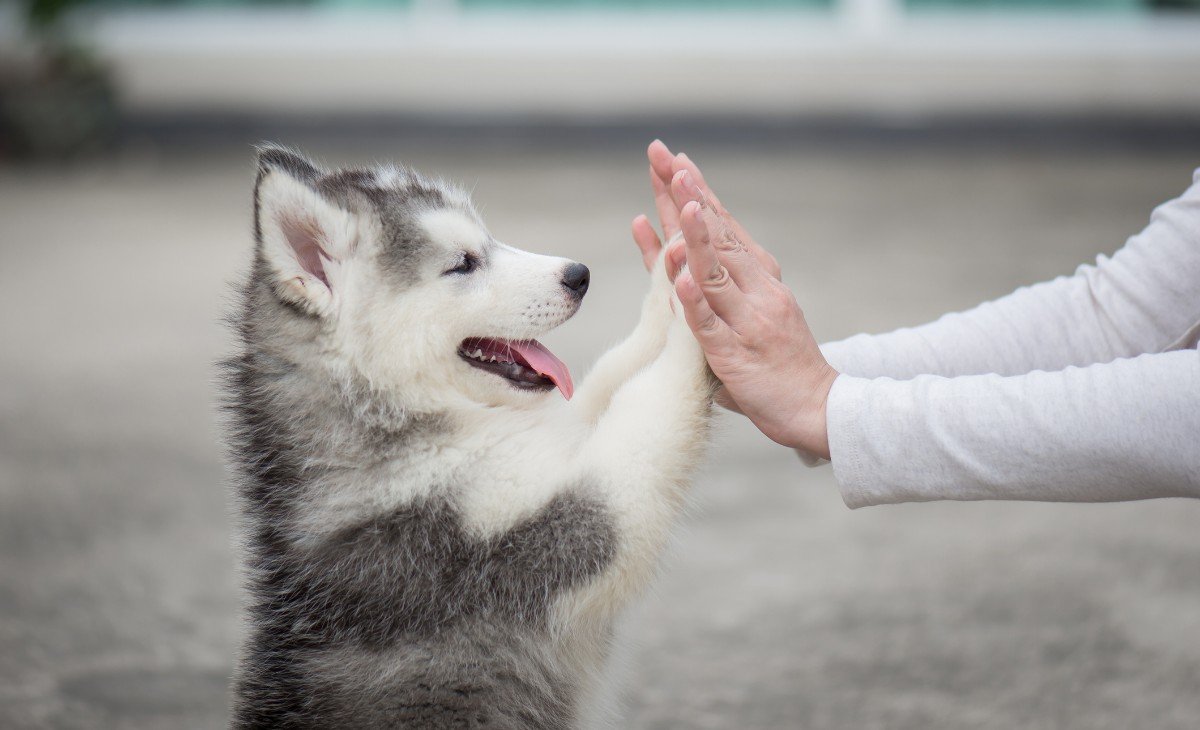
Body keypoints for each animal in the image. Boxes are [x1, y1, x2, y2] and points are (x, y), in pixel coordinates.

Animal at [223, 145, 710, 725]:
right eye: (463, 263)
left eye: (488, 240)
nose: (579, 274)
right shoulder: (531, 535)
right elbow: (648, 404)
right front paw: (704, 310)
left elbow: (611, 375)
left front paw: (673, 277)